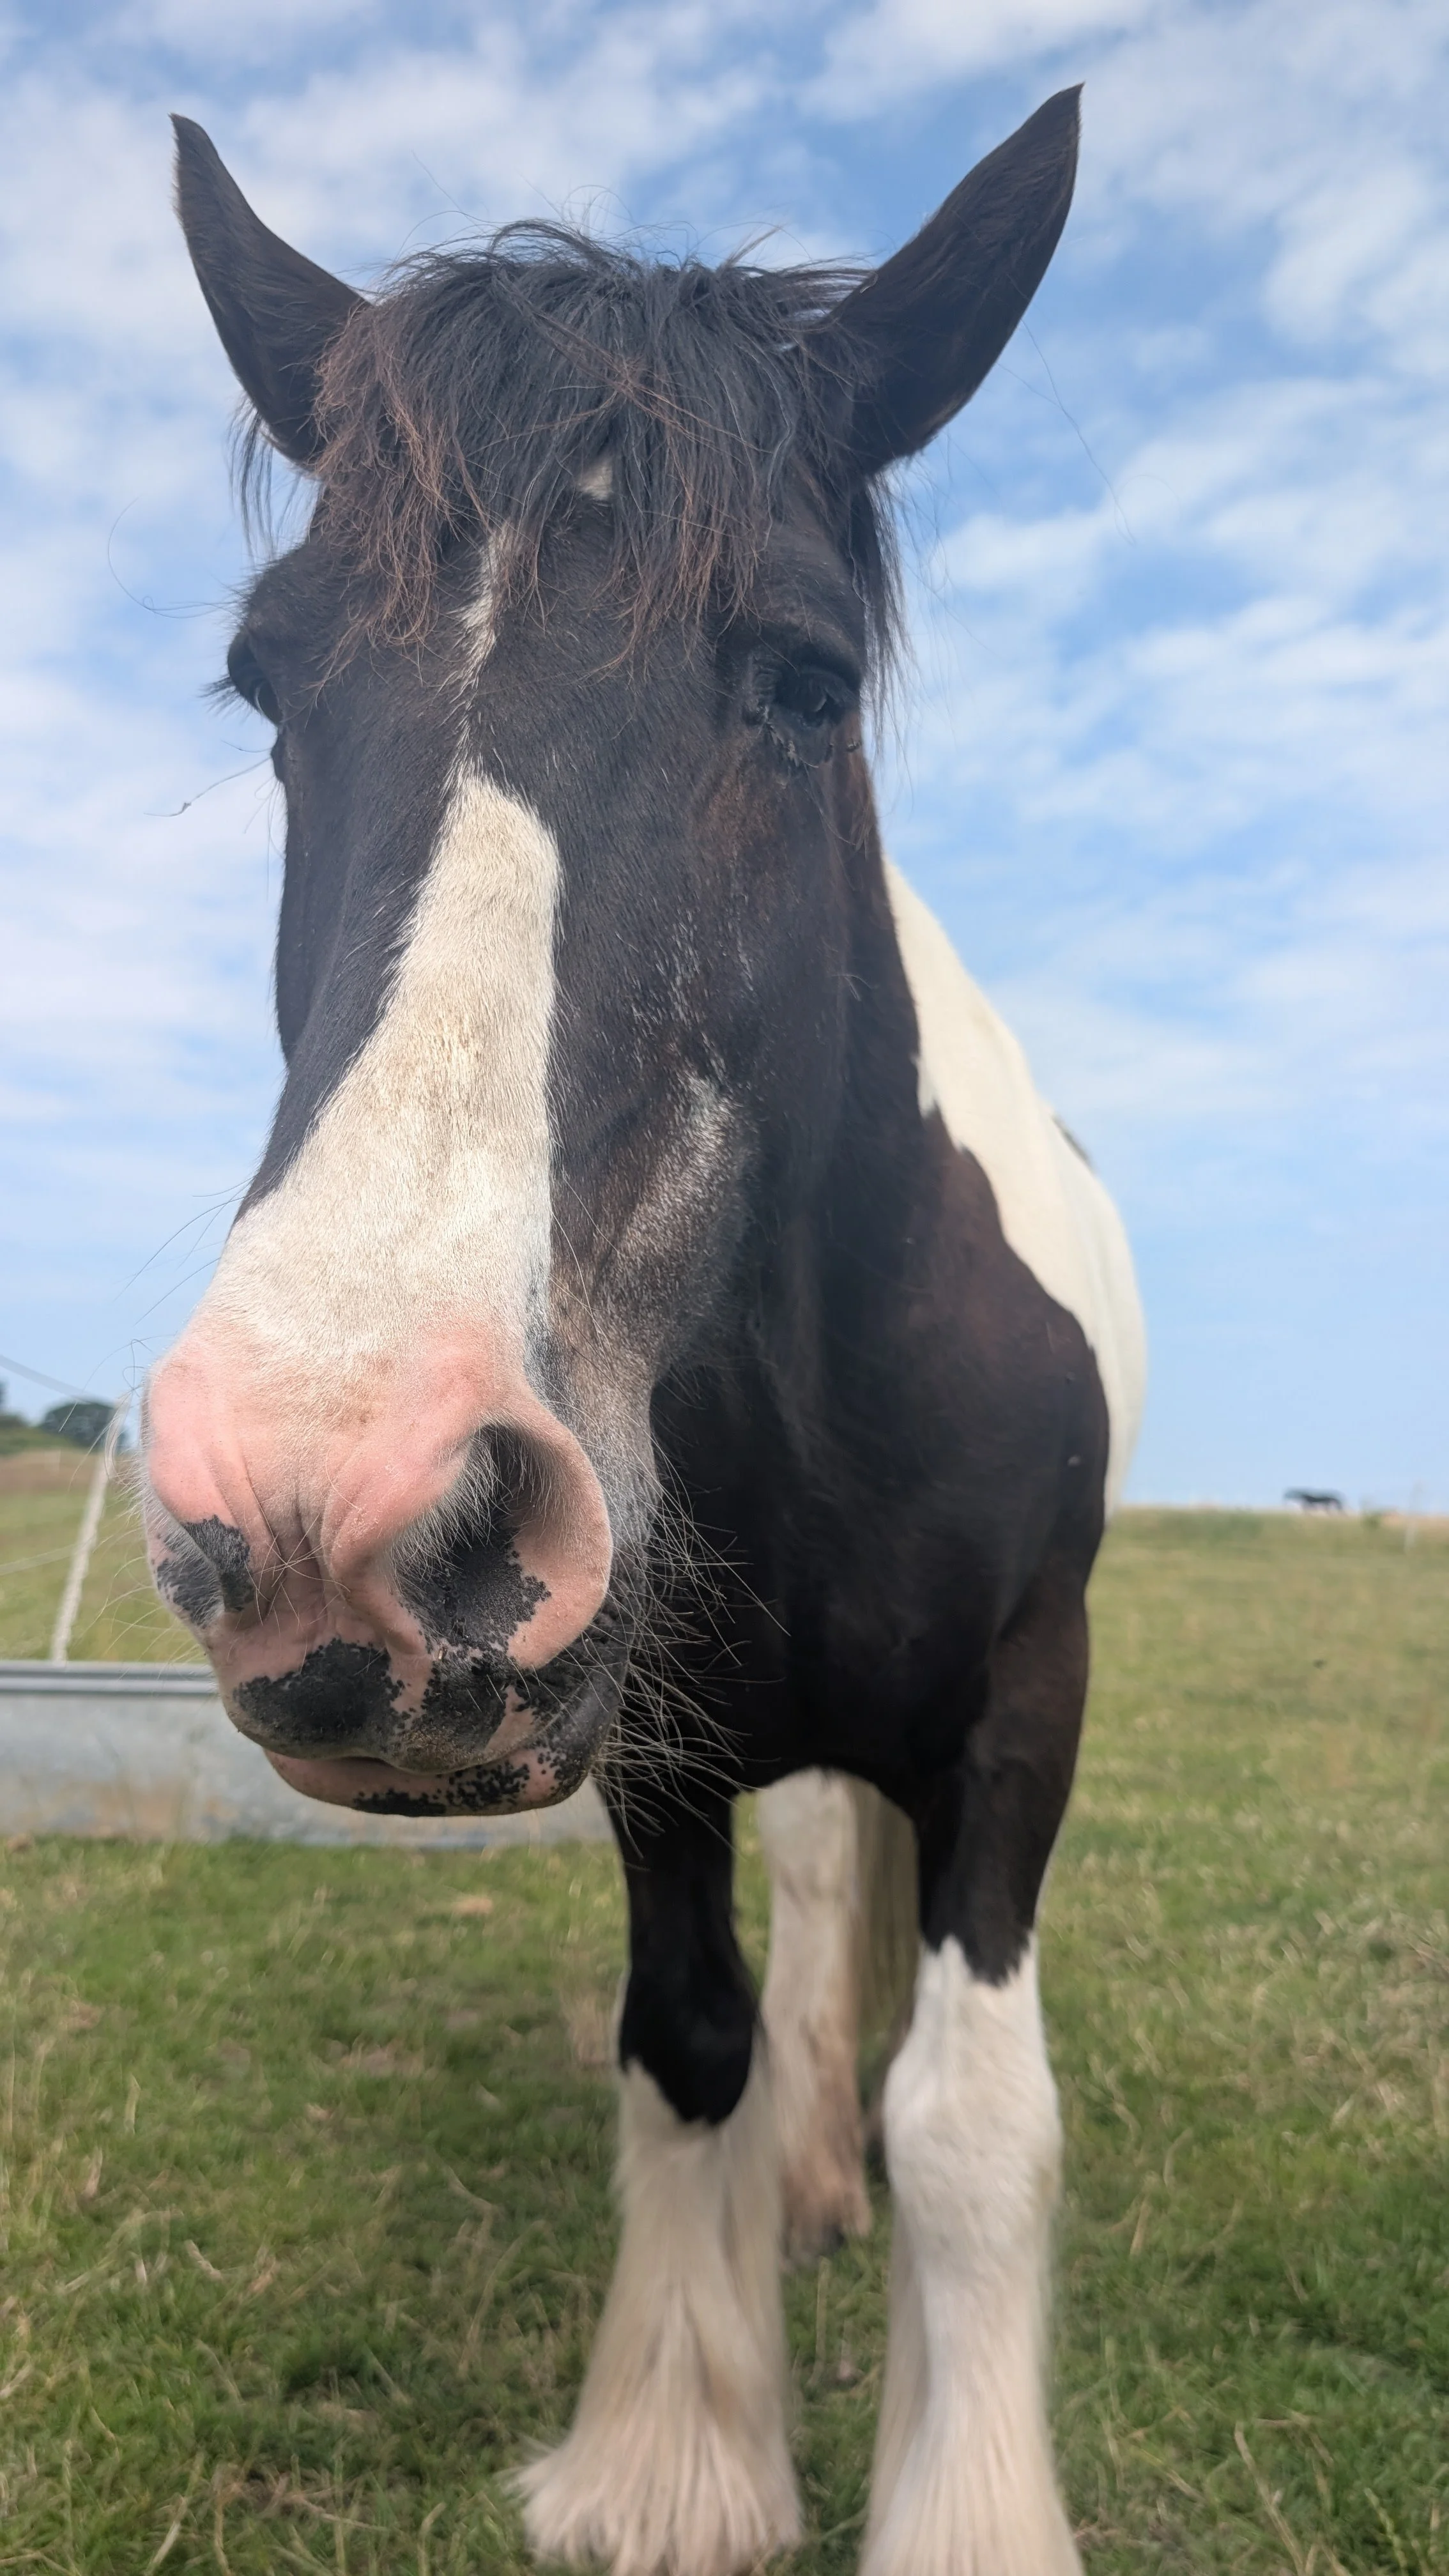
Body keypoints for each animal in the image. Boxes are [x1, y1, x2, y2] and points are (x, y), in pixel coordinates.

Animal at [144, 90, 1146, 2575]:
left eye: (799, 677)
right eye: (269, 688)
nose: (335, 1511)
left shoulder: (1024, 1700)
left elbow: (975, 2115)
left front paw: (960, 2508)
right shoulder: (659, 1750)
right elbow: (687, 2040)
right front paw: (675, 2460)